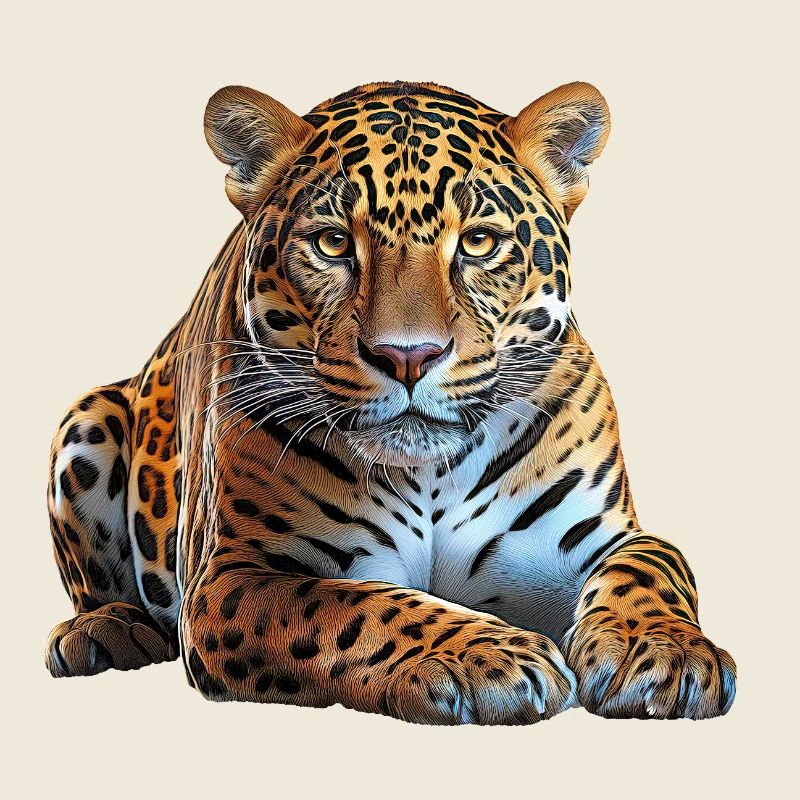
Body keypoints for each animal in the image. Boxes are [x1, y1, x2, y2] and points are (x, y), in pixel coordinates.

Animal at [44, 80, 736, 723]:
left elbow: (656, 564)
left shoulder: (601, 537)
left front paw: (662, 652)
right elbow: (357, 606)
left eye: (479, 243)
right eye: (331, 244)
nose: (408, 355)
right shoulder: (233, 578)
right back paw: (103, 633)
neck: (429, 474)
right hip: (88, 419)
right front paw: (488, 656)